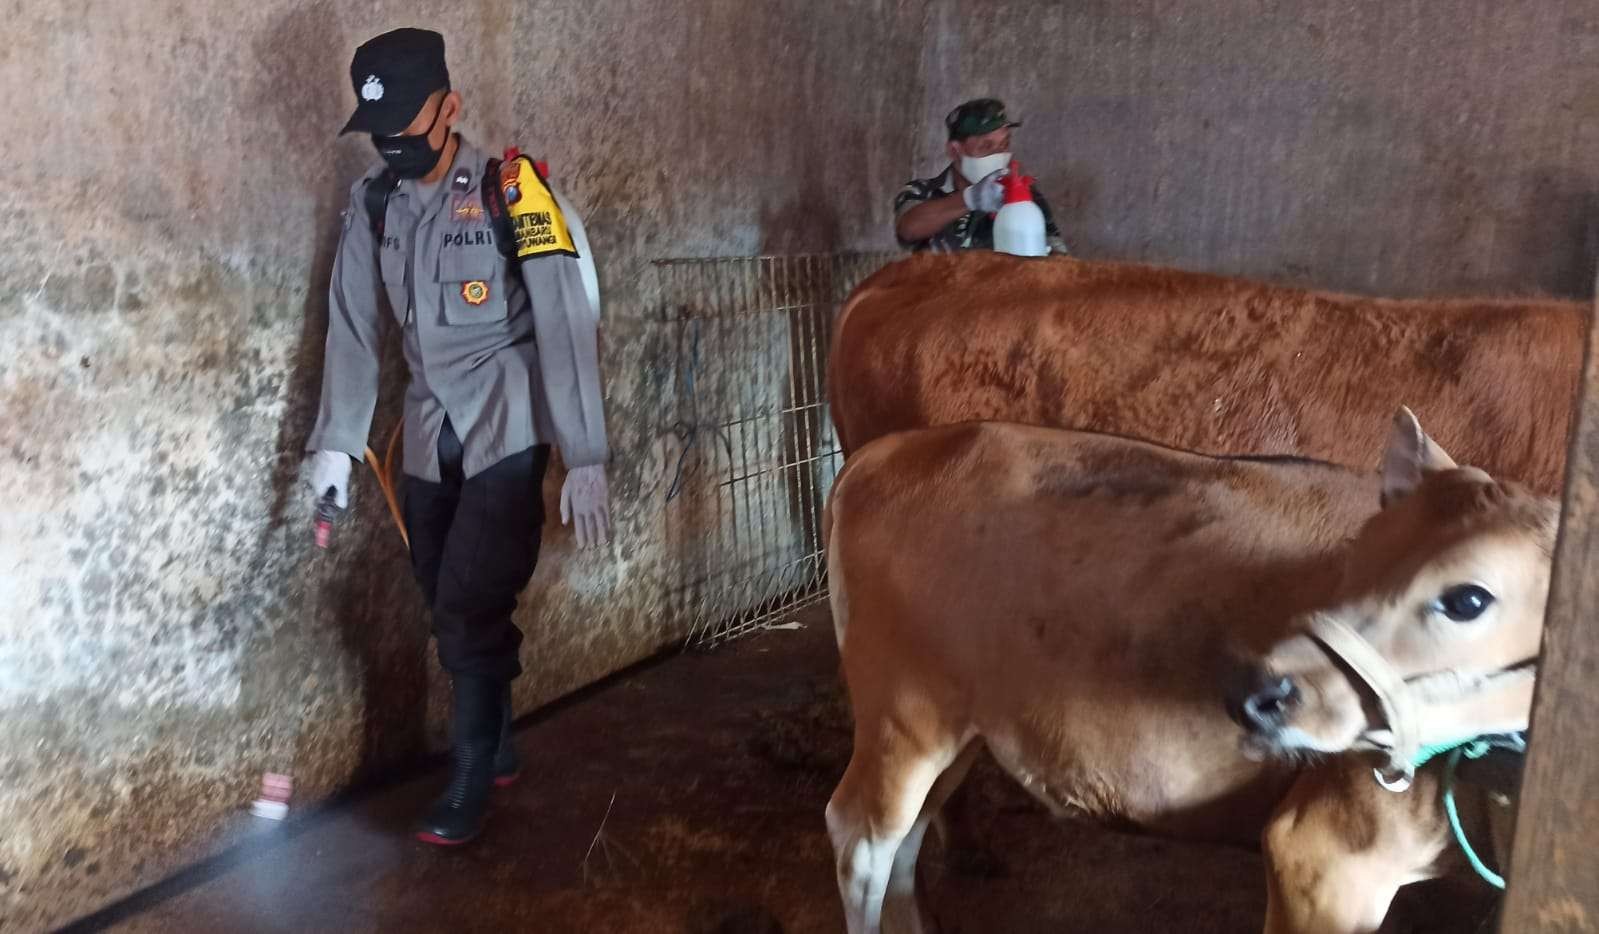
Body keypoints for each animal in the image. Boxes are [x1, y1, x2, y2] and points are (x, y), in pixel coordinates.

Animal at [831, 412, 1554, 927]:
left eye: (1468, 599)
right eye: (1360, 554)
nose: (1257, 694)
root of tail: (889, 450)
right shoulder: (1321, 854)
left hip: (956, 723)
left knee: (905, 841)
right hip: (902, 710)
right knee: (861, 840)